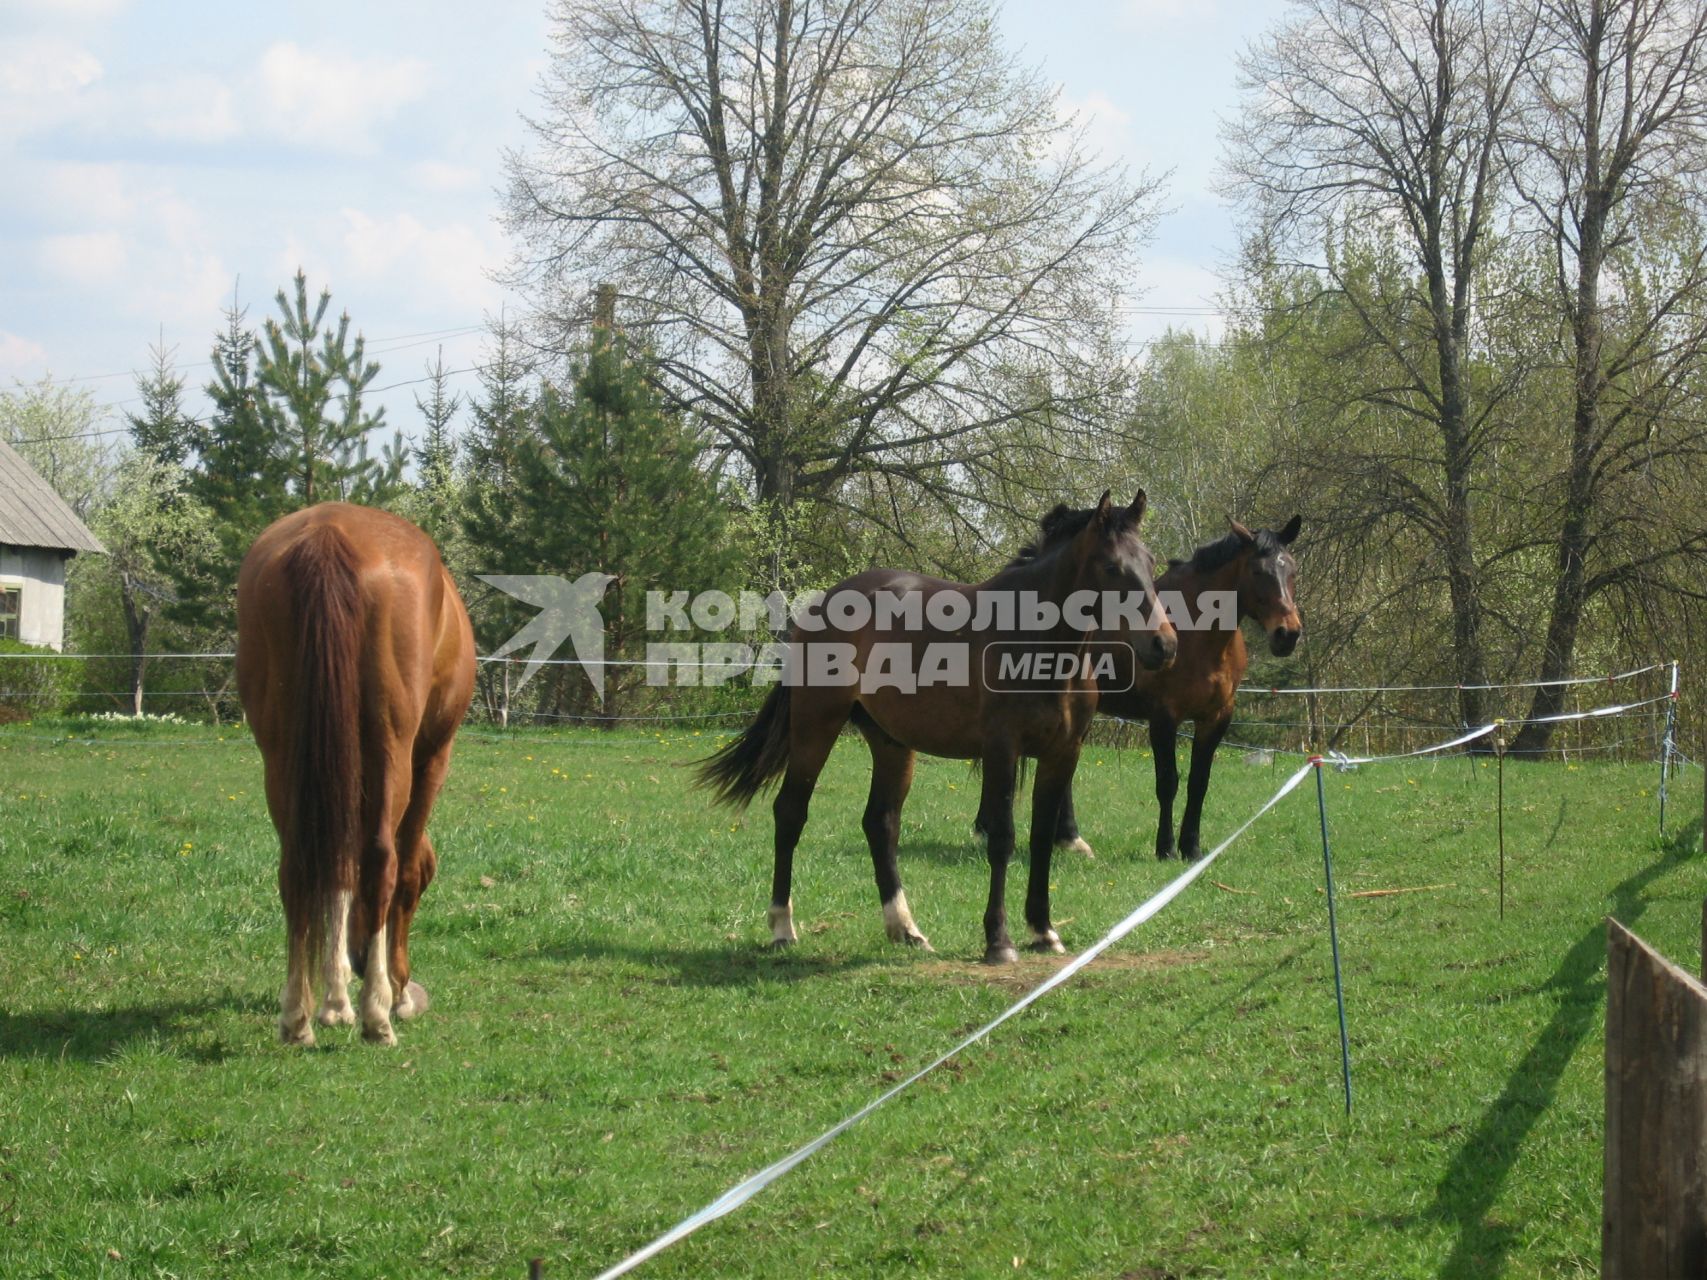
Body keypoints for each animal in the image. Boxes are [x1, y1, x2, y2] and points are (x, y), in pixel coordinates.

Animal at [233, 505, 474, 1044]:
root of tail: (329, 535)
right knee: (384, 860)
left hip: (283, 752)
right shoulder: (433, 757)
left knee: (296, 866)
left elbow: (339, 867)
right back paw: (377, 1014)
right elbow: (402, 868)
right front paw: (392, 993)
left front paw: (335, 998)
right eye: (429, 886)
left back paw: (297, 1016)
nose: (363, 960)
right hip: (392, 747)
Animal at [699, 494, 1181, 969]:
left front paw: (1043, 931)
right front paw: (999, 941)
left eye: (1150, 562)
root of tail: (823, 604)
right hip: (817, 725)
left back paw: (906, 930)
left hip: (892, 743)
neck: (1038, 645)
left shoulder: (1063, 753)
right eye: (1112, 566)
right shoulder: (1002, 750)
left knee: (881, 823)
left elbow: (1042, 838)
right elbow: (1003, 838)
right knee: (790, 813)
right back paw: (783, 928)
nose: (1165, 644)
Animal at [990, 512, 1290, 863]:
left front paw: (1192, 848)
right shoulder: (1164, 717)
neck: (1201, 634)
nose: (1288, 633)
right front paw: (1167, 848)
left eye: (1292, 569)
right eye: (1258, 571)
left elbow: (1199, 783)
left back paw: (1068, 838)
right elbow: (1168, 782)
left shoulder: (1216, 718)